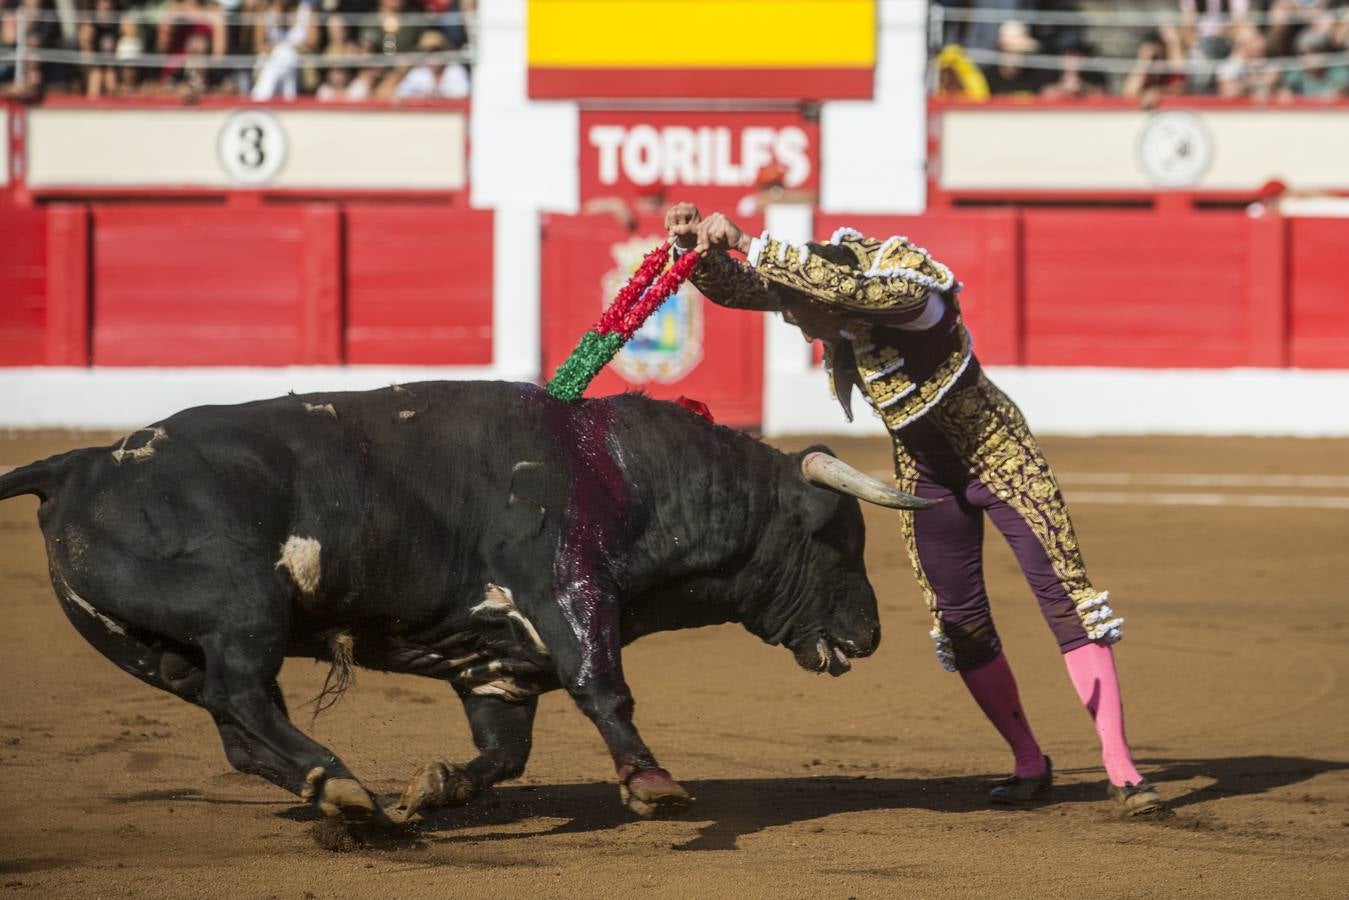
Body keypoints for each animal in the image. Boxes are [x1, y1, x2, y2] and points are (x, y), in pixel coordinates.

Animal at [0, 380, 928, 825]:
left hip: (158, 652)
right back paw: (340, 784)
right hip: (244, 609)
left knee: (235, 725)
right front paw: (652, 783)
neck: (620, 474)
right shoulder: (566, 591)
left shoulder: (499, 666)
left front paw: (431, 789)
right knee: (242, 696)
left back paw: (348, 799)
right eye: (838, 540)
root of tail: (78, 463)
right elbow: (604, 688)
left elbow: (501, 756)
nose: (871, 635)